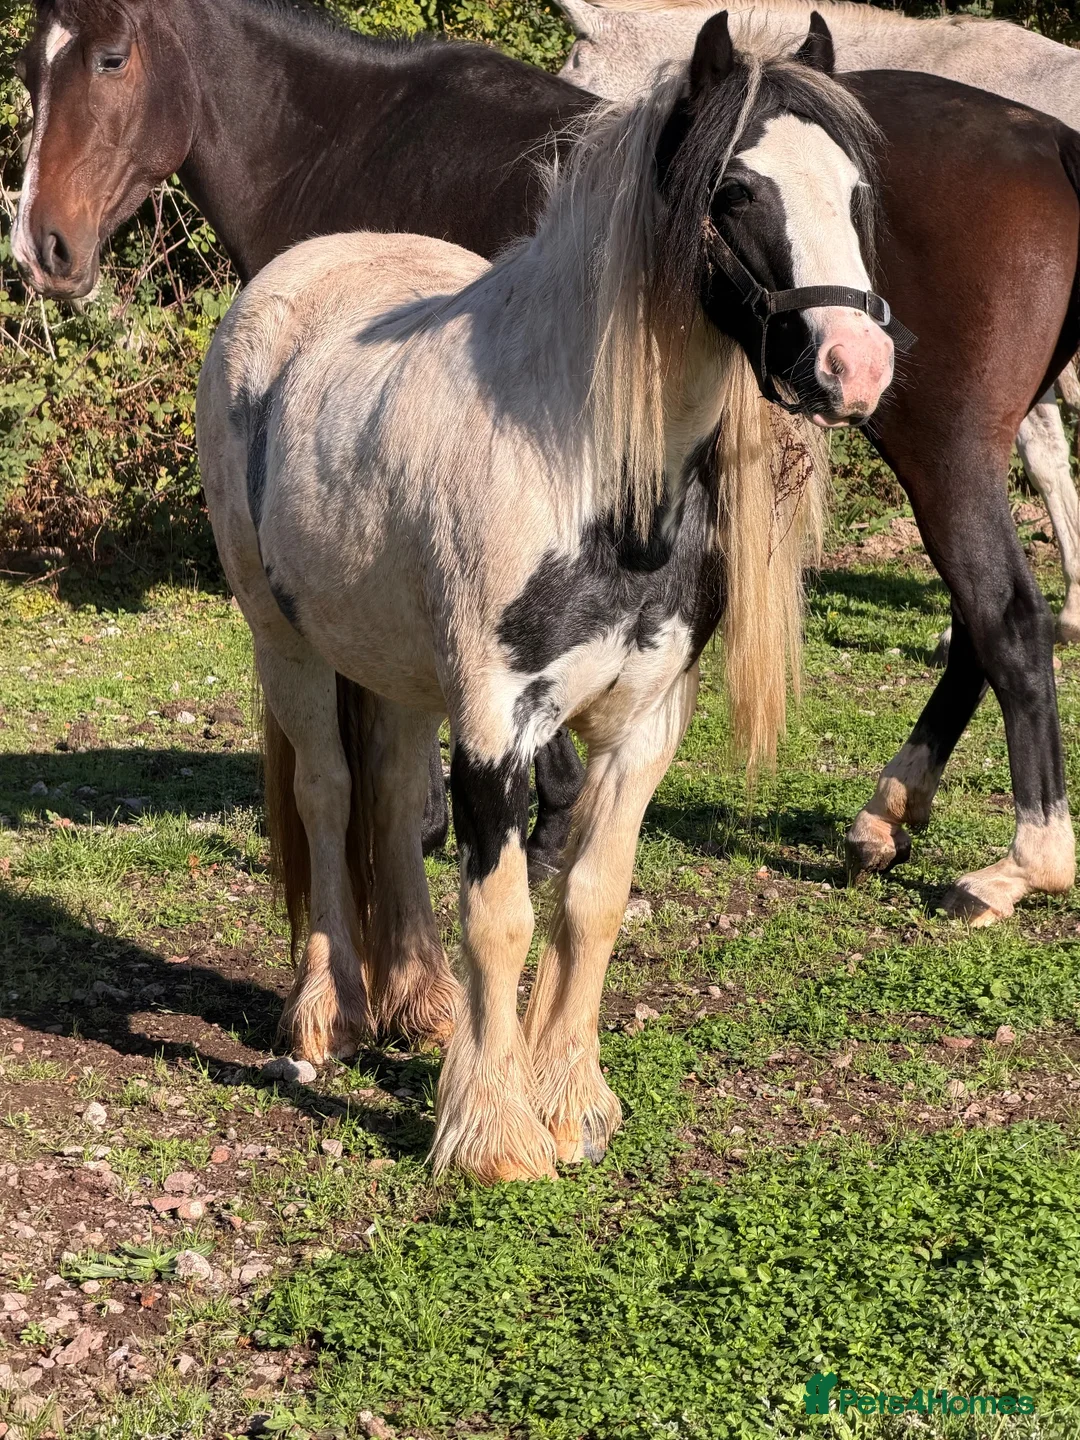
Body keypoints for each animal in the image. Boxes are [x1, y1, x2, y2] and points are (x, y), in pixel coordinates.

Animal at [11, 0, 1080, 969]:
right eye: (28, 70)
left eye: (110, 58)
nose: (41, 247)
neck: (351, 137)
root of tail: (1053, 143)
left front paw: (508, 832)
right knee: (980, 627)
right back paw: (889, 815)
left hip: (944, 453)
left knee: (1006, 620)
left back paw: (1021, 861)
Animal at [196, 12, 894, 1179]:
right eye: (736, 191)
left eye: (853, 195)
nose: (857, 365)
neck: (596, 478)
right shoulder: (496, 722)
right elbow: (502, 913)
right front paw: (492, 1129)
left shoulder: (644, 724)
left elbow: (591, 901)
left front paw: (569, 1100)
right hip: (284, 643)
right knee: (330, 794)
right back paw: (327, 1011)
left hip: (396, 661)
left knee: (391, 792)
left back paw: (419, 1001)